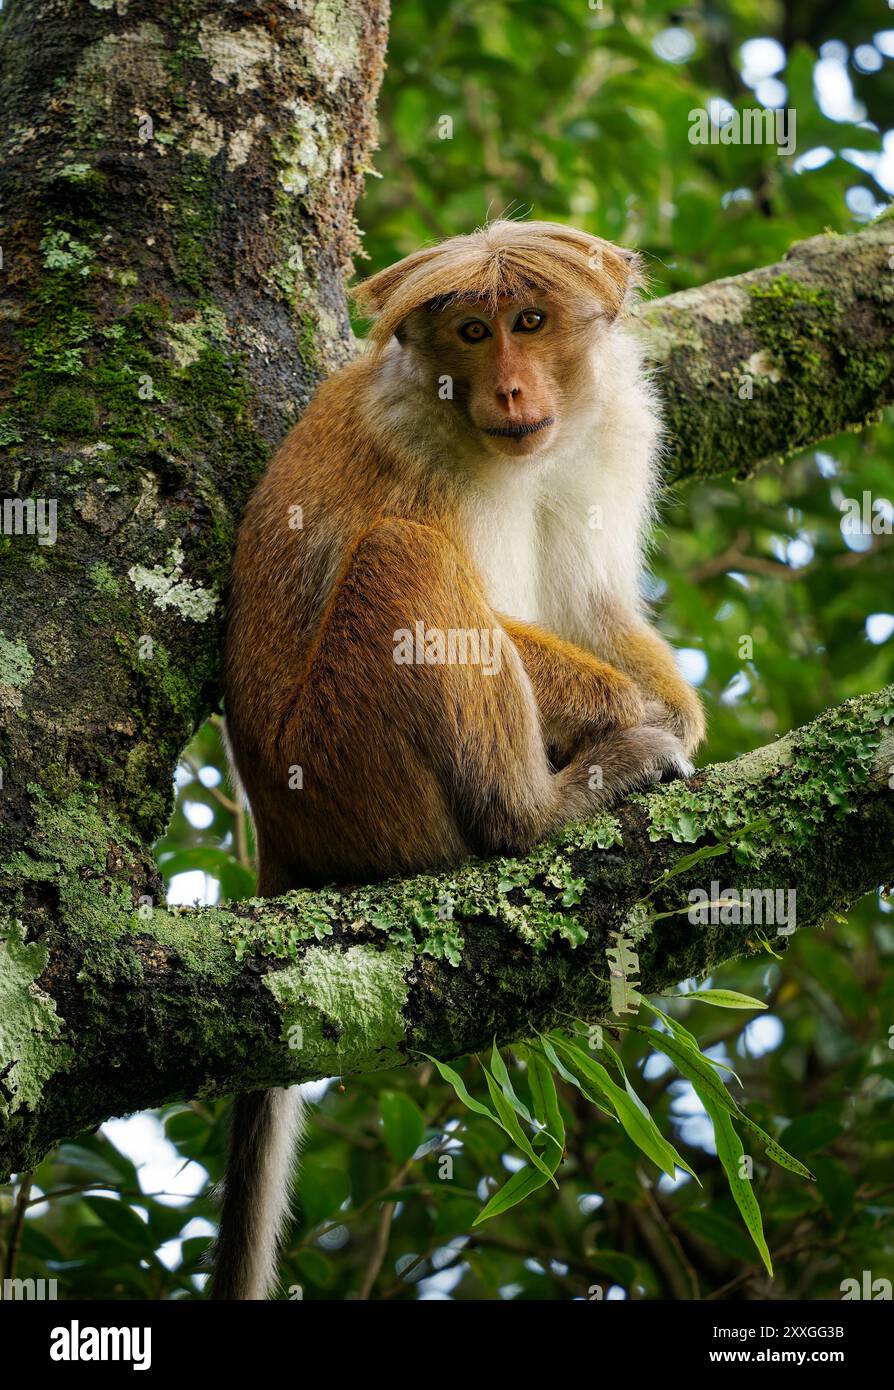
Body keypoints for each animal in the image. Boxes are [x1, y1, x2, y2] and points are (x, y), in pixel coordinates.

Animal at [211, 219, 706, 1300]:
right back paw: (542, 810)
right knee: (407, 559)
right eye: (474, 332)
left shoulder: (615, 433)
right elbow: (475, 607)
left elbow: (594, 601)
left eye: (532, 321)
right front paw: (637, 713)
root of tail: (276, 827)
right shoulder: (415, 450)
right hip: (348, 767)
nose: (512, 390)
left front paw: (682, 708)